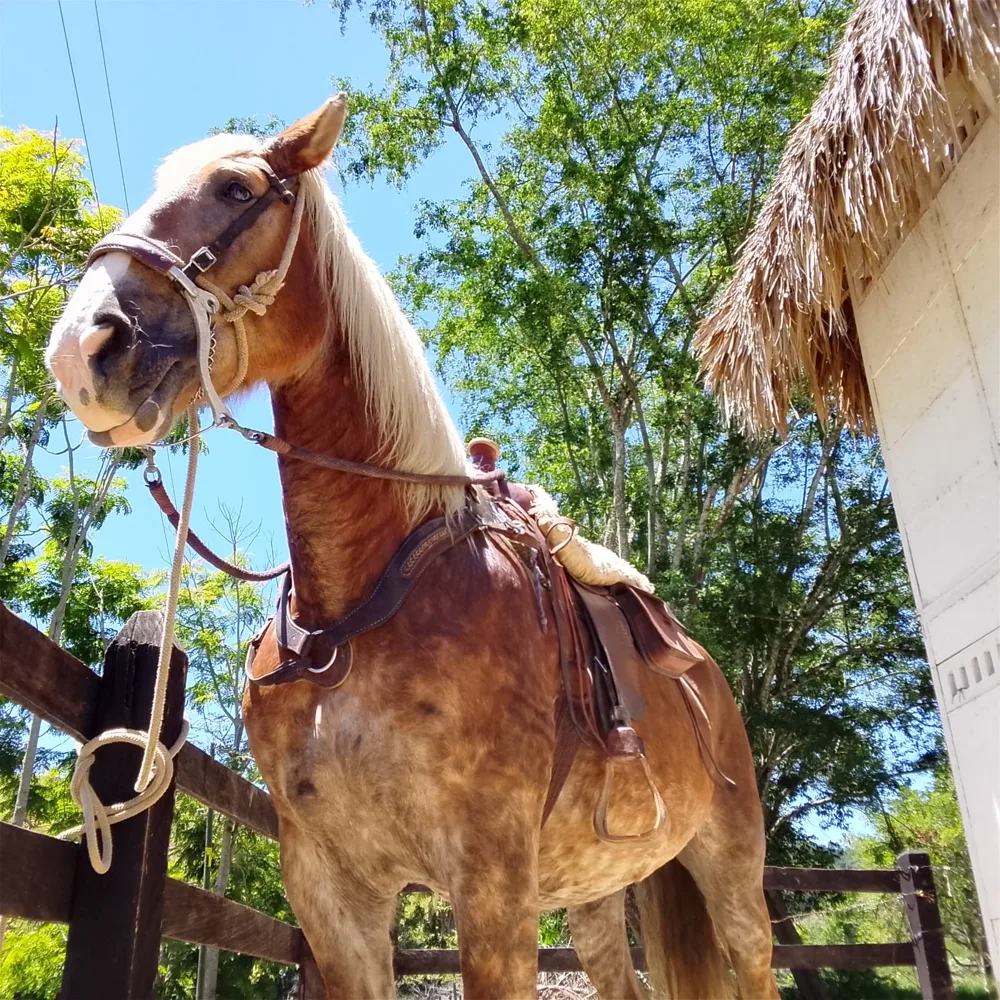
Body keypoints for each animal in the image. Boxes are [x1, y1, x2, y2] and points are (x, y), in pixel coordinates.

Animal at [45, 97, 779, 1000]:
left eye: (236, 188)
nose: (82, 346)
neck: (355, 614)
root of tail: (704, 671)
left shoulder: (492, 882)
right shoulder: (332, 889)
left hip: (733, 872)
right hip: (596, 894)